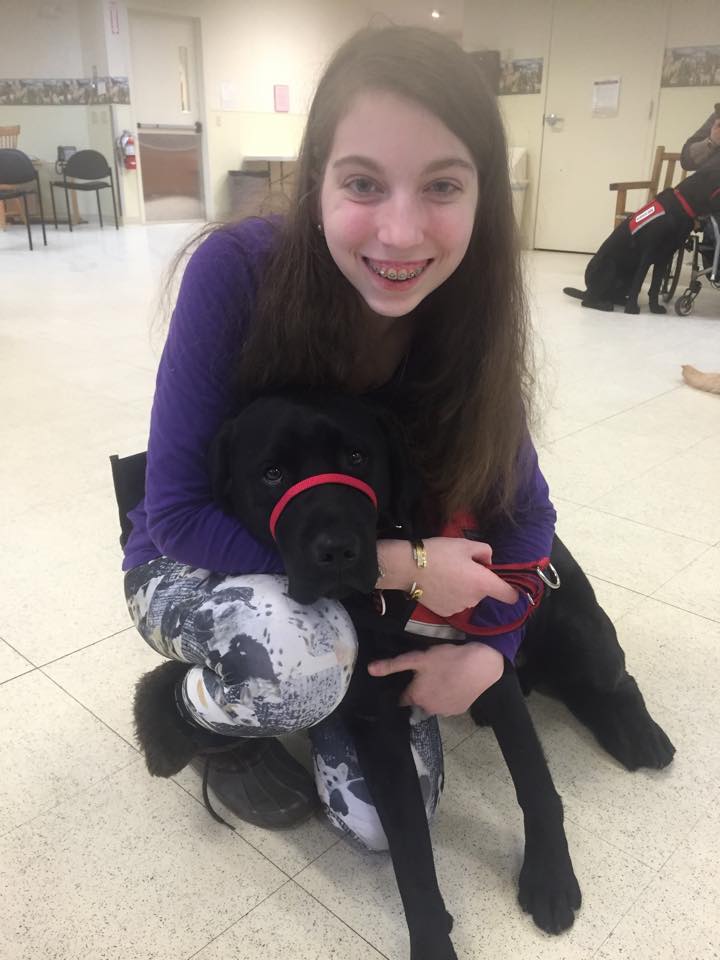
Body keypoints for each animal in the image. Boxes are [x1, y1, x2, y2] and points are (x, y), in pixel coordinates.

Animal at [208, 390, 676, 960]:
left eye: (357, 456)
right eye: (272, 473)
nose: (337, 549)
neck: (389, 602)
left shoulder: (486, 669)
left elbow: (535, 784)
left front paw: (549, 876)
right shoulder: (378, 724)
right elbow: (411, 852)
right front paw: (432, 937)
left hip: (577, 628)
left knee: (610, 682)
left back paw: (641, 736)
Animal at [564, 167, 720, 314]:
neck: (683, 205)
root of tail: (586, 290)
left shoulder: (664, 257)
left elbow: (655, 286)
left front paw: (654, 308)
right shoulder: (648, 254)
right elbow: (638, 285)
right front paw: (632, 308)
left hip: (627, 276)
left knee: (611, 295)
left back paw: (620, 301)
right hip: (608, 265)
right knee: (587, 300)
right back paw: (604, 305)